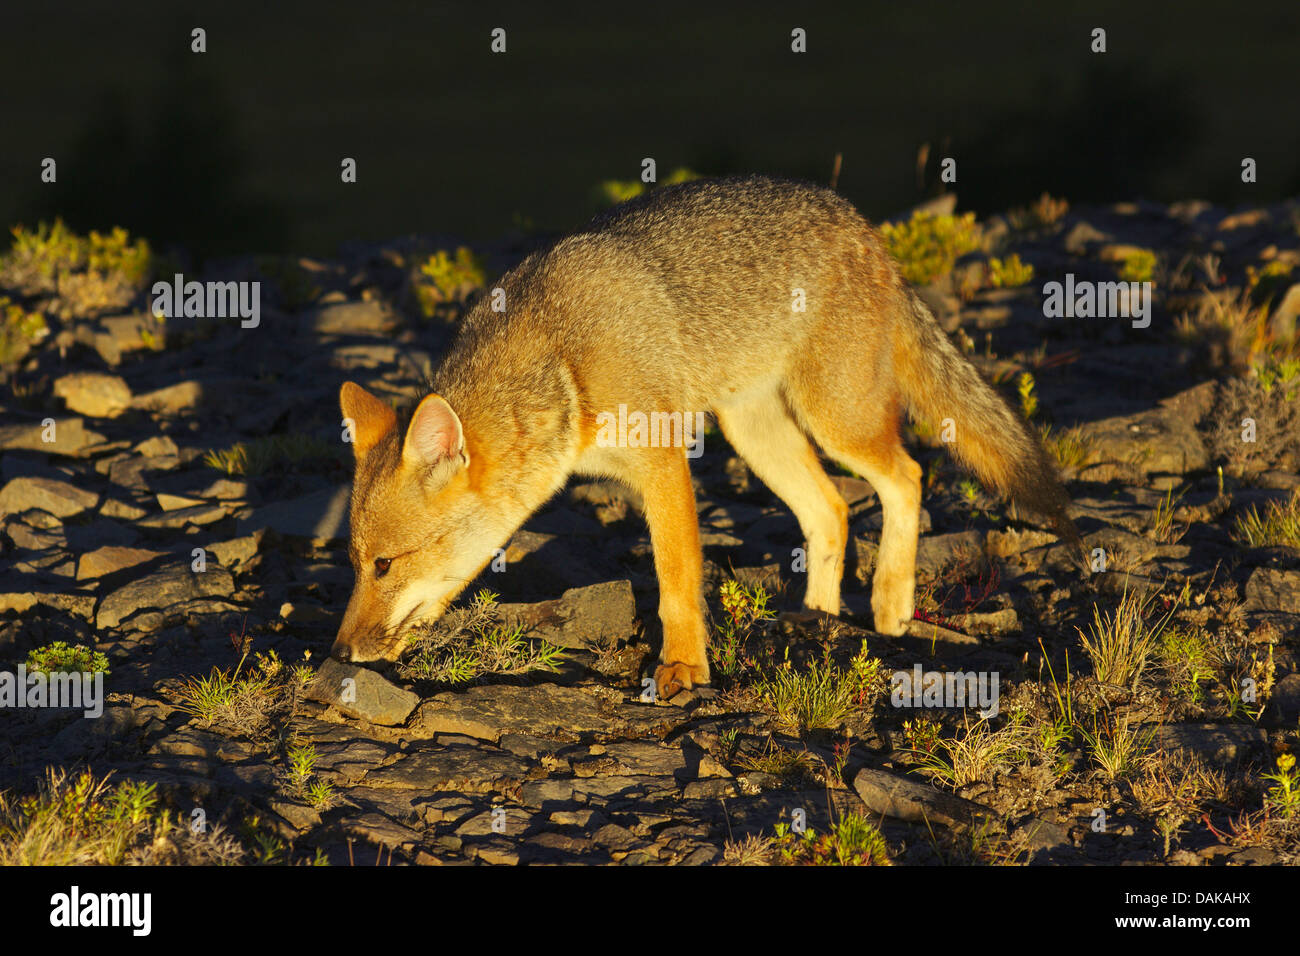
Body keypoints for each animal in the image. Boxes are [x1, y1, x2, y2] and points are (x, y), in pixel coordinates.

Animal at [332, 174, 1076, 697]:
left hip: (836, 422)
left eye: (385, 565)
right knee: (832, 510)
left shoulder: (662, 465)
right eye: (356, 564)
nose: (339, 653)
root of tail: (861, 223)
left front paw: (685, 669)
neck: (562, 360)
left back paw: (890, 605)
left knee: (908, 477)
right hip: (757, 435)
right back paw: (820, 616)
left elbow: (675, 578)